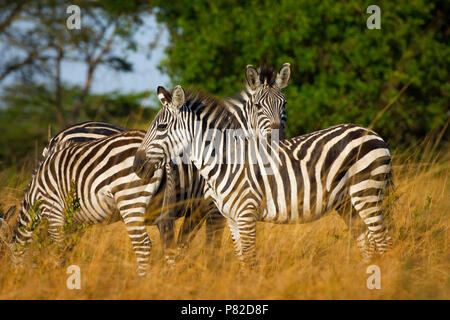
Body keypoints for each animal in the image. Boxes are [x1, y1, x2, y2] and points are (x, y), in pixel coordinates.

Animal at [134, 85, 394, 268]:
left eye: (162, 127)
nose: (137, 165)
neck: (225, 162)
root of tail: (372, 132)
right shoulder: (231, 218)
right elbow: (241, 259)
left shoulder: (247, 213)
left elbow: (249, 260)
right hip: (347, 201)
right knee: (367, 241)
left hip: (367, 191)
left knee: (383, 241)